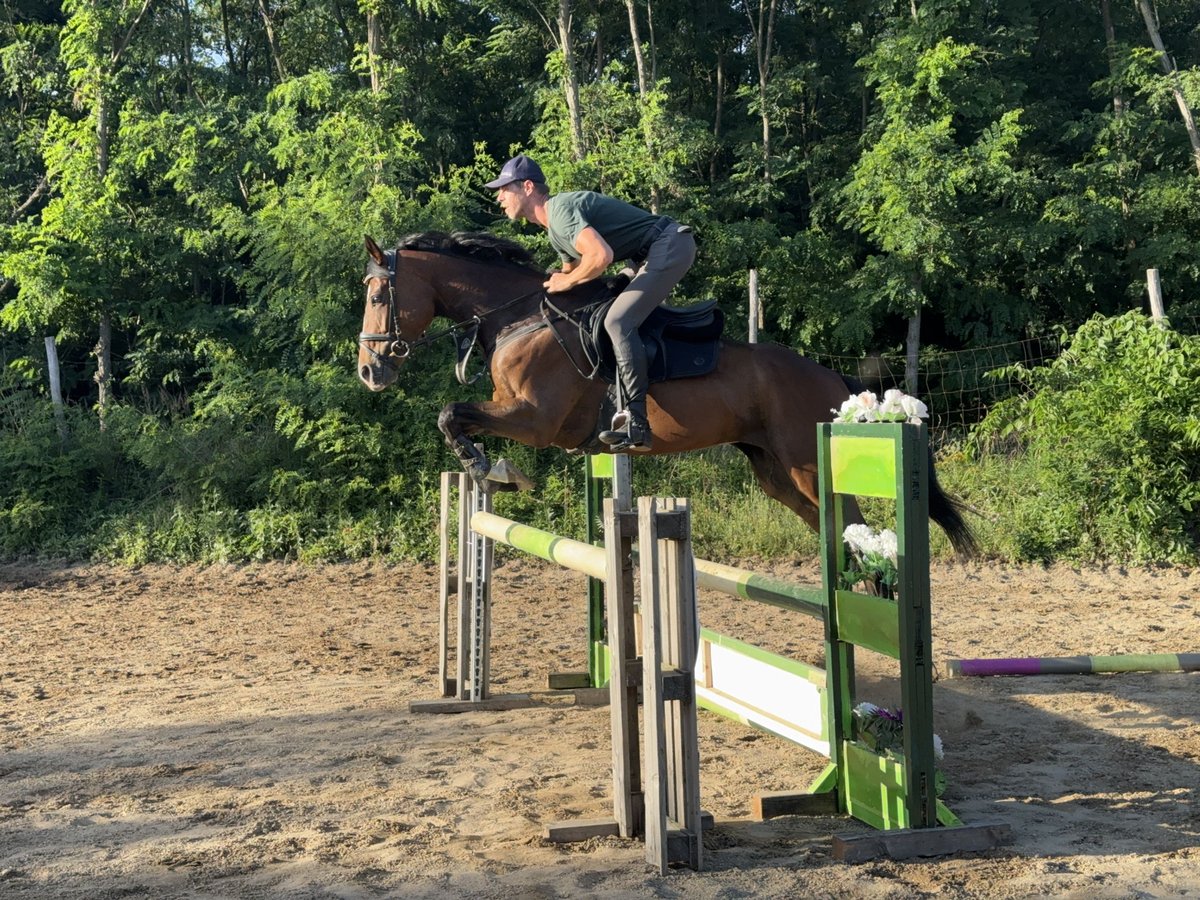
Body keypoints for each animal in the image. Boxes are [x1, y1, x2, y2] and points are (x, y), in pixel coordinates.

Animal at [355, 230, 974, 556]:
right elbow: (456, 416)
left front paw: (491, 469)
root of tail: (832, 379)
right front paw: (491, 469)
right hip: (772, 471)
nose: (368, 371)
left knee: (849, 518)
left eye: (379, 297)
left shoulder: (534, 419)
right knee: (829, 523)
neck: (520, 318)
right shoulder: (521, 415)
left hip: (805, 461)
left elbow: (450, 413)